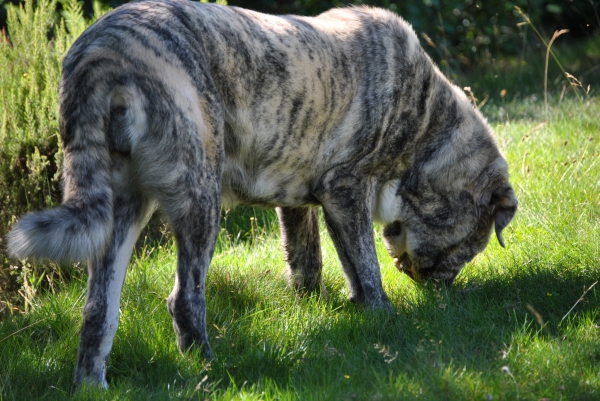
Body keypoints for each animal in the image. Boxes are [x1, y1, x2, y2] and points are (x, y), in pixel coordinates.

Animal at [7, 0, 516, 388]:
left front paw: (326, 305)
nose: (442, 292)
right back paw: (209, 371)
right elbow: (366, 266)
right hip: (200, 195)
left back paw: (93, 384)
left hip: (119, 208)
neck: (428, 125)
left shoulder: (304, 201)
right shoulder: (346, 188)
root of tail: (99, 55)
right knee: (185, 298)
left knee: (98, 310)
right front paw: (385, 317)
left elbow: (313, 259)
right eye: (470, 246)